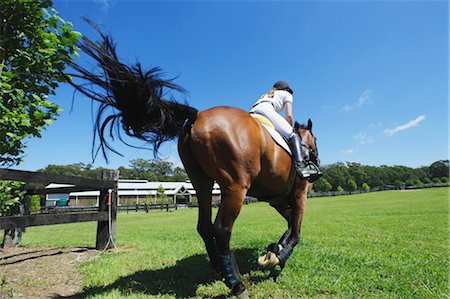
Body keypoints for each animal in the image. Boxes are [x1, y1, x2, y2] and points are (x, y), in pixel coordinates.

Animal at [69, 27, 320, 298]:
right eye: (315, 142)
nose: (316, 166)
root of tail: (197, 116)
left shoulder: (276, 199)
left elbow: (289, 223)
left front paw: (273, 249)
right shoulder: (298, 193)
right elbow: (296, 230)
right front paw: (278, 258)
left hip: (202, 182)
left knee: (205, 226)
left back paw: (222, 269)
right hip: (236, 186)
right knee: (221, 228)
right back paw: (237, 284)